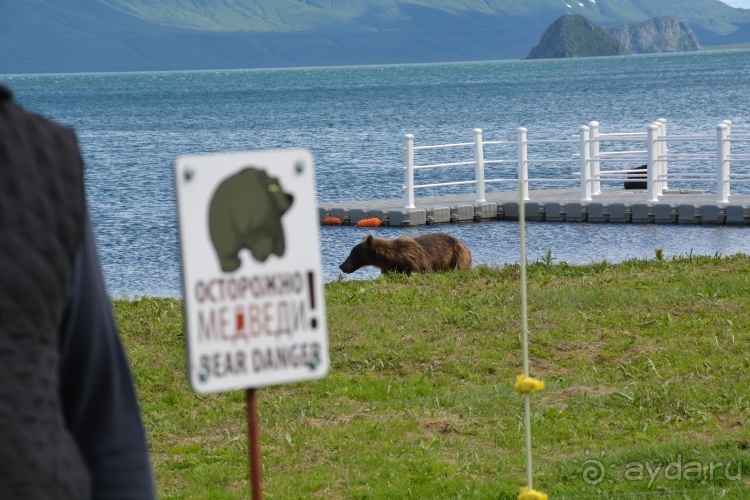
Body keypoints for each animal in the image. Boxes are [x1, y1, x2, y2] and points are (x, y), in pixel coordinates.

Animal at [340, 233, 470, 276]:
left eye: (352, 253)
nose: (341, 266)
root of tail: (464, 244)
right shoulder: (388, 268)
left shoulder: (416, 260)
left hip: (458, 255)